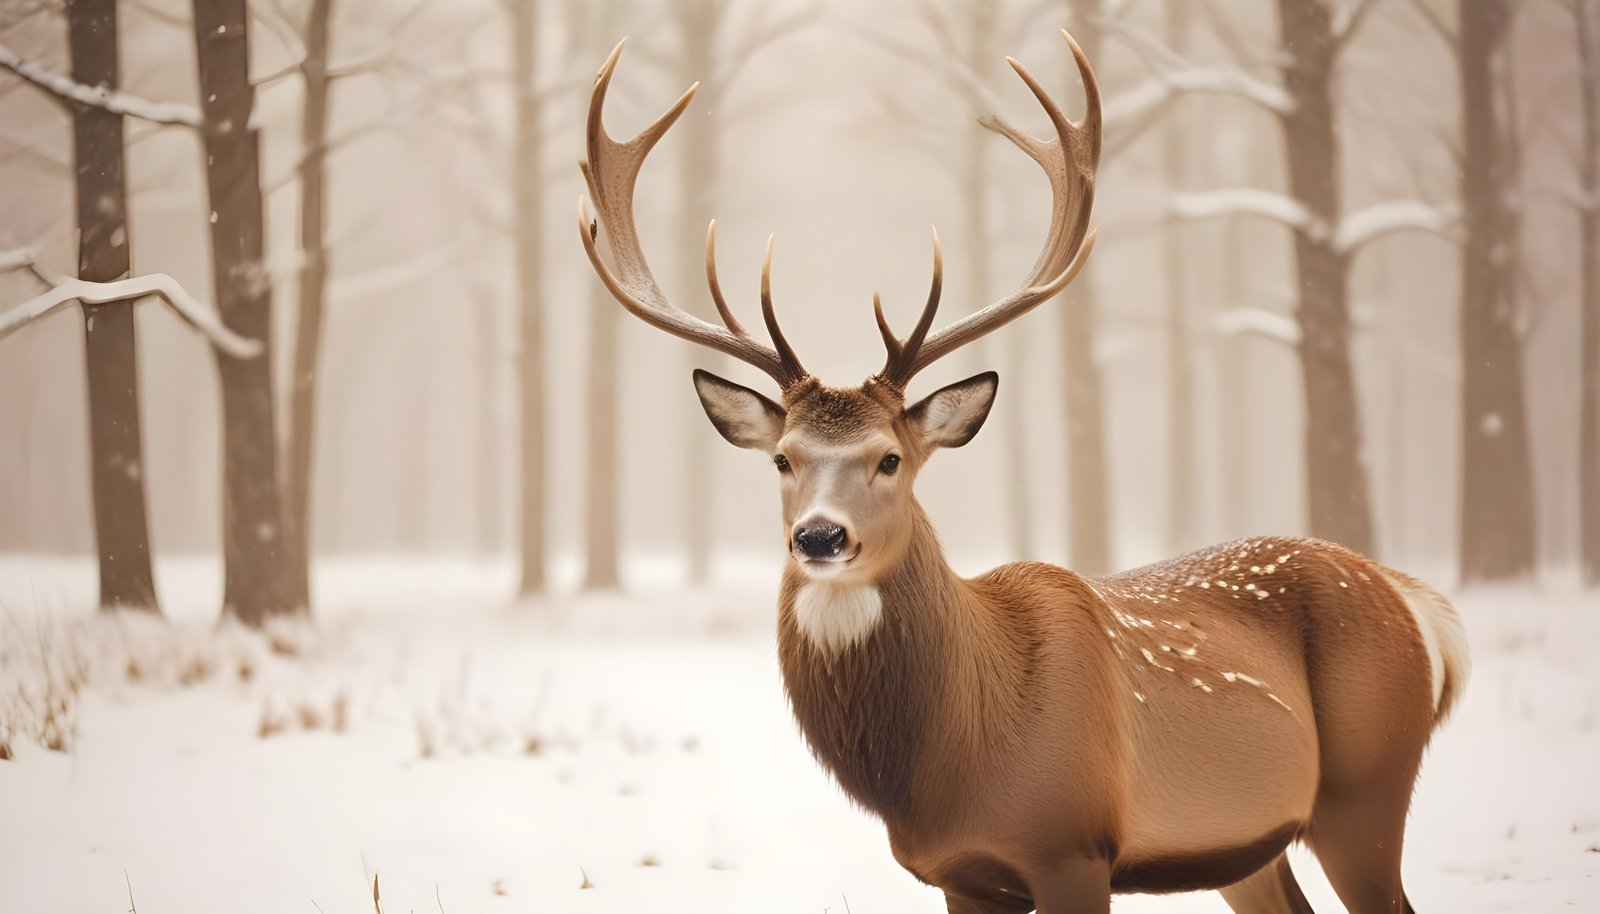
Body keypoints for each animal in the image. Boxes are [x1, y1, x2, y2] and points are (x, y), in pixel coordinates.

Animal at [577, 29, 1470, 914]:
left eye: (891, 458)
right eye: (782, 458)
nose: (820, 537)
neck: (962, 760)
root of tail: (1423, 608)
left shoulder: (1074, 844)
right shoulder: (958, 873)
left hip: (1366, 788)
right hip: (1251, 844)